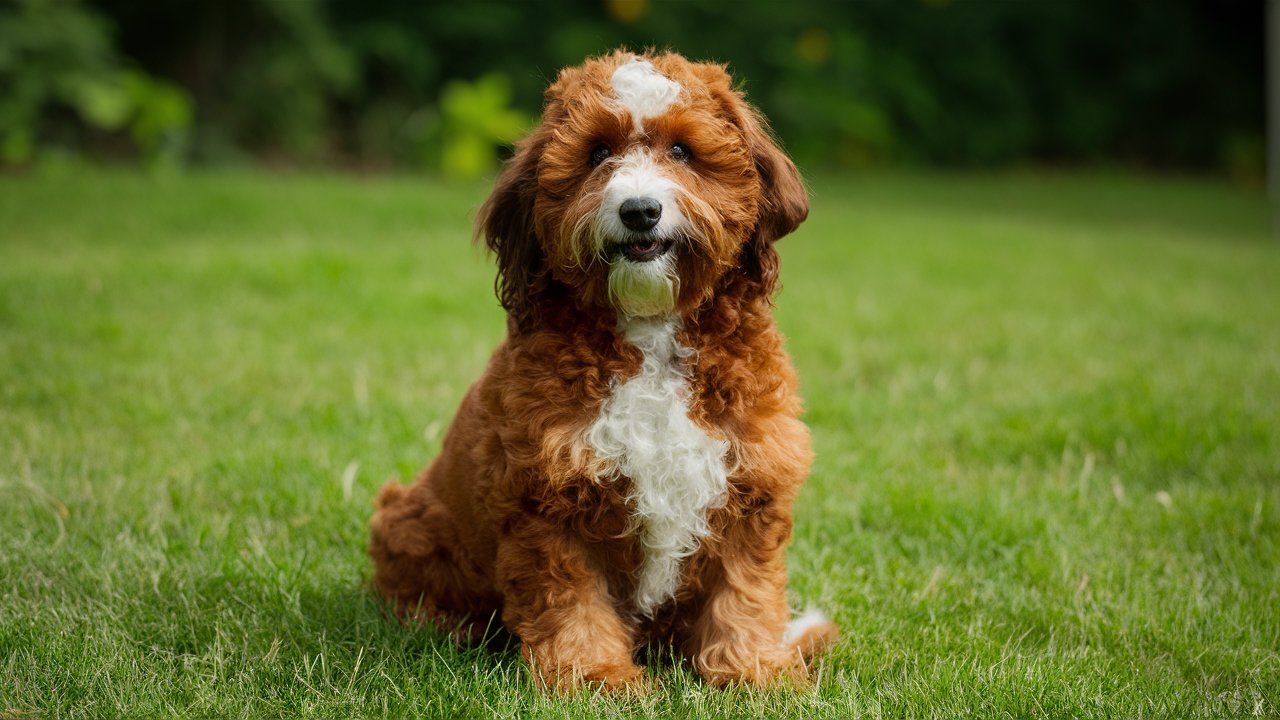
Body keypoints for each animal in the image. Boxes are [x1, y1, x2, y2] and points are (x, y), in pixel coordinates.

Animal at [368, 49, 839, 691]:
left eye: (681, 150)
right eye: (595, 153)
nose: (639, 210)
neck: (651, 335)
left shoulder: (752, 484)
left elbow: (744, 591)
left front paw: (755, 672)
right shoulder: (546, 499)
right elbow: (571, 600)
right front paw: (594, 677)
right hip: (408, 521)